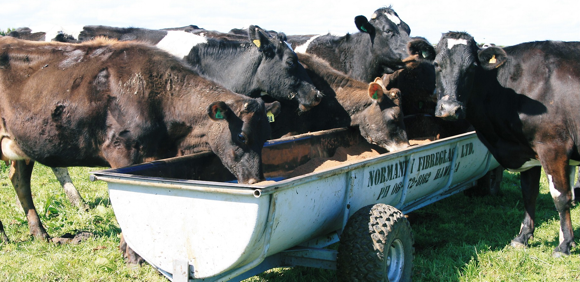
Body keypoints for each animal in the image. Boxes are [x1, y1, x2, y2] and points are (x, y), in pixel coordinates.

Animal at [432, 31, 580, 258]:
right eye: (436, 64)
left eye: (472, 67)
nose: (449, 109)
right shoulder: (527, 150)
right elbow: (529, 193)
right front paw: (523, 237)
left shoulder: (553, 146)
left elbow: (561, 197)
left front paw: (564, 245)